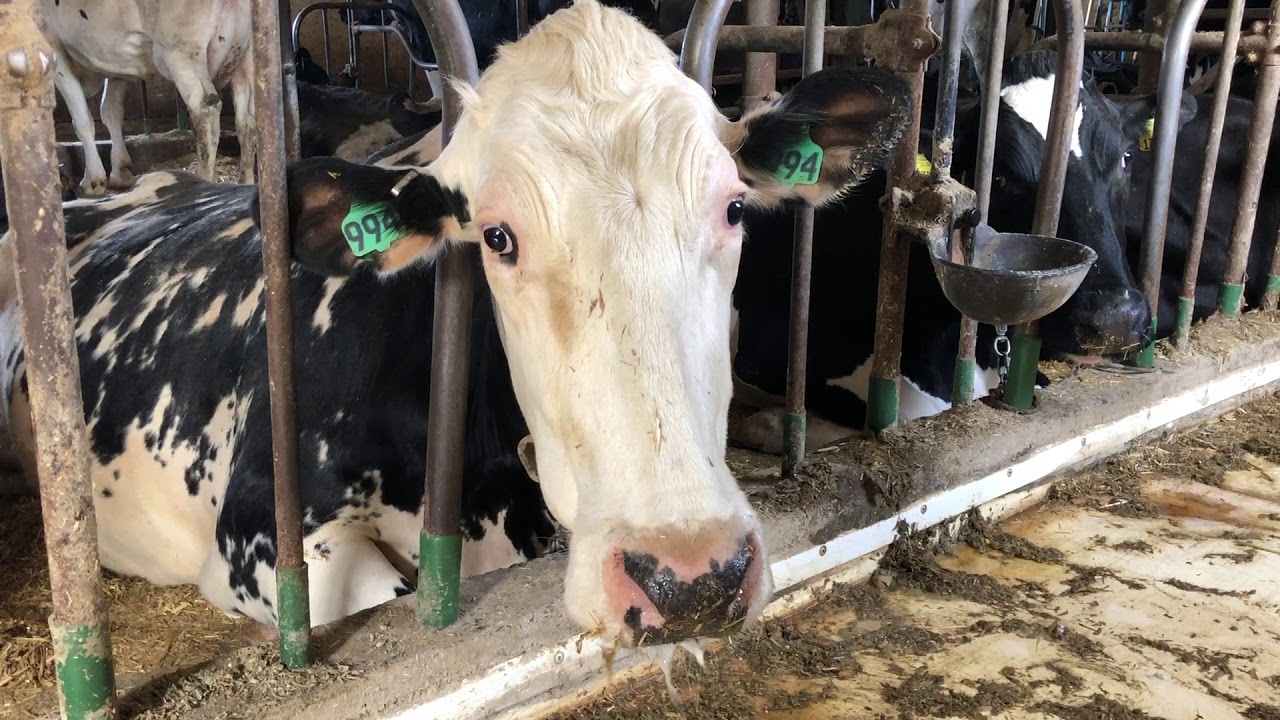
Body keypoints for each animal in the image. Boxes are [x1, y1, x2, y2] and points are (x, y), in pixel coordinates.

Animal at [42, 0, 256, 197]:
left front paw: (93, 180)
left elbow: (83, 121)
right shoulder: (116, 60)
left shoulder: (51, 43)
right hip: (245, 54)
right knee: (247, 120)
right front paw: (121, 171)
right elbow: (110, 110)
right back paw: (247, 183)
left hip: (180, 50)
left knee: (205, 111)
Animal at [730, 49, 1188, 448]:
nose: (1114, 318)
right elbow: (905, 410)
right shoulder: (770, 348)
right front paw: (768, 425)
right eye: (1000, 176)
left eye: (1126, 157)